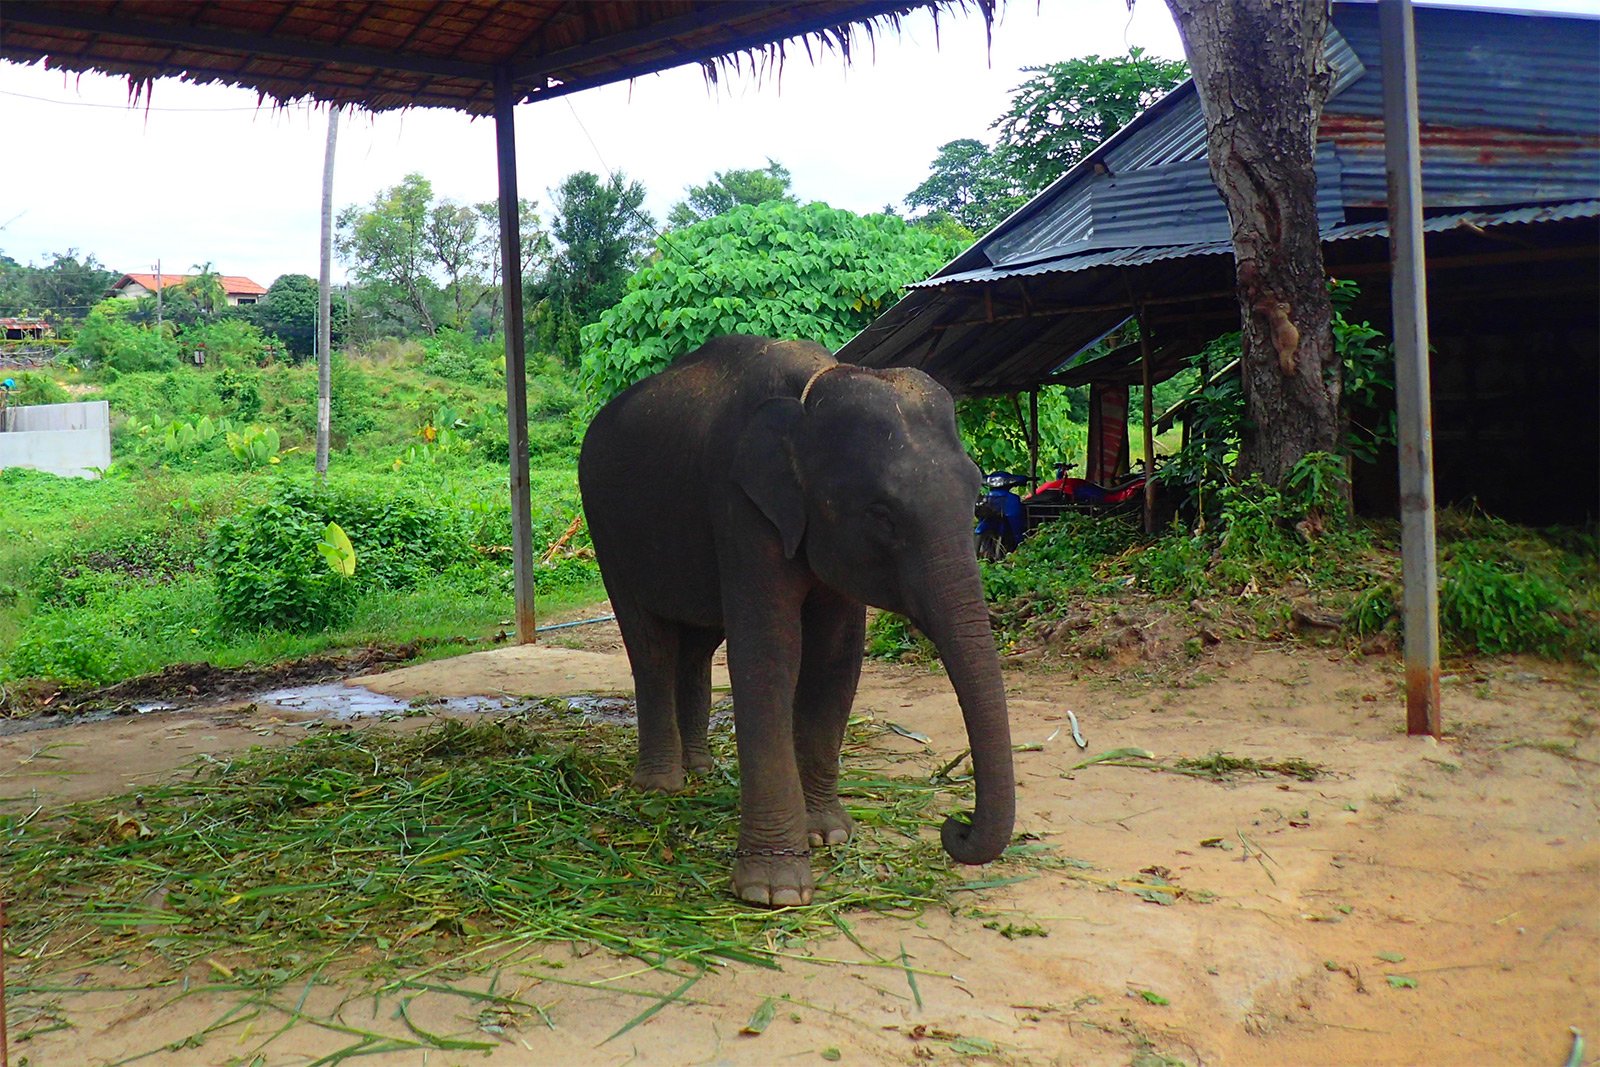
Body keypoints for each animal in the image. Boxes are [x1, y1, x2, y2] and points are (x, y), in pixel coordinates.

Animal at [579, 335, 1011, 908]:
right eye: (881, 514)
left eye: (976, 496)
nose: (954, 827)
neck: (810, 393)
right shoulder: (739, 504)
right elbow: (768, 653)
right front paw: (774, 891)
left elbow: (837, 656)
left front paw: (829, 835)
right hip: (605, 524)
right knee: (648, 642)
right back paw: (661, 787)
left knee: (696, 645)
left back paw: (701, 771)